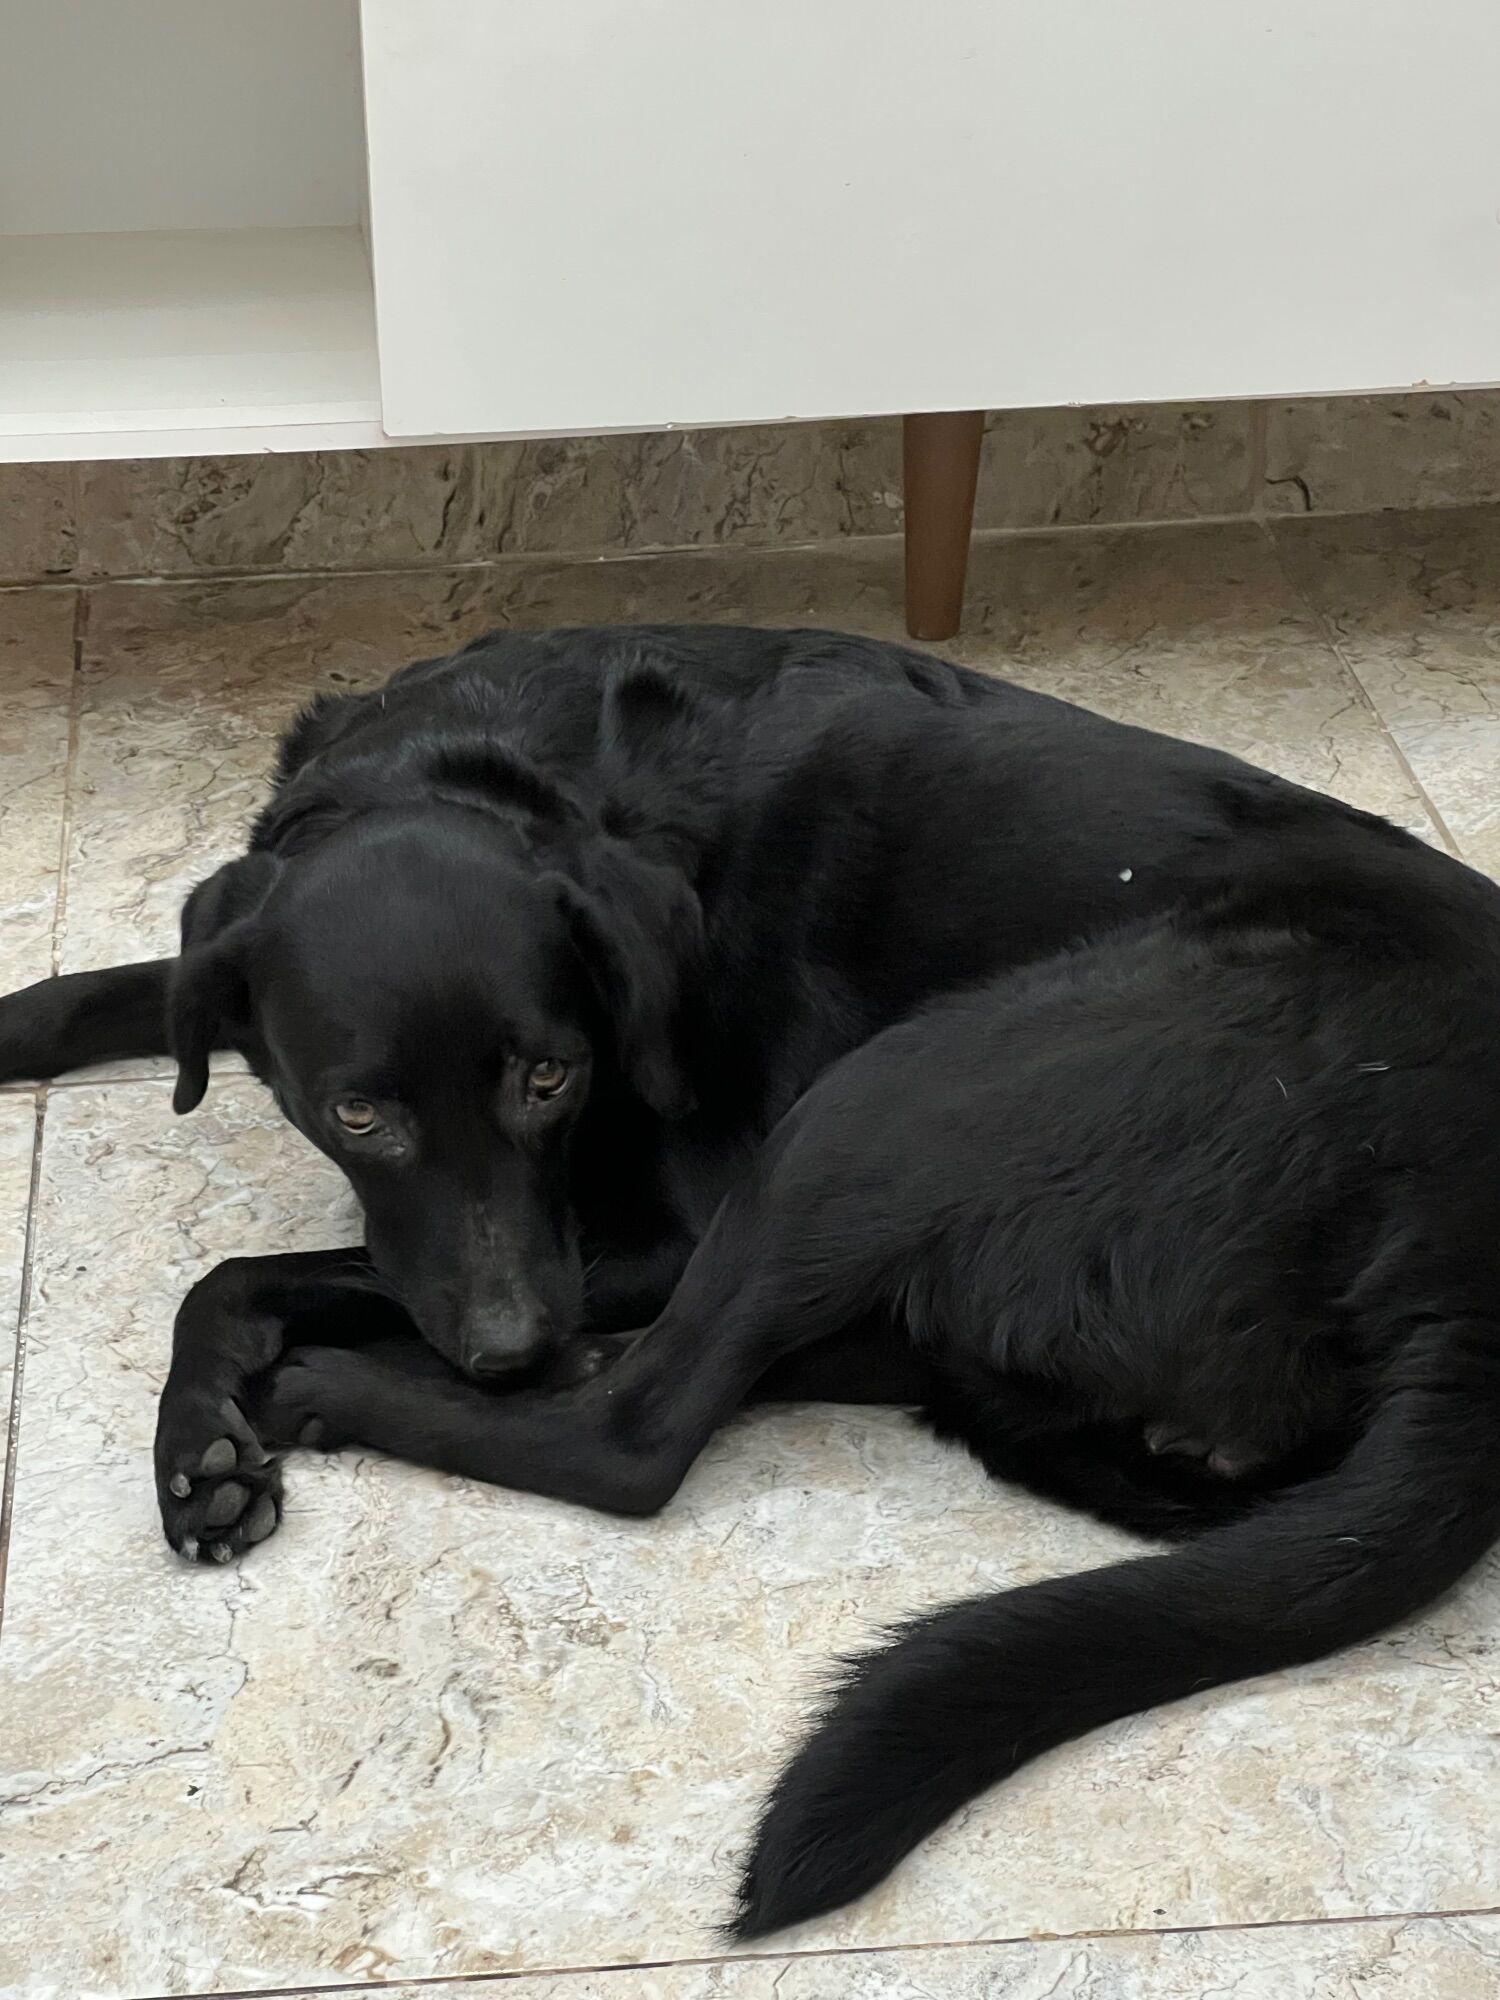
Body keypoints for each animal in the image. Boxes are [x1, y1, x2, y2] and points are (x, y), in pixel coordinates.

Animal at [0, 622, 1457, 1560]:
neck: (490, 756)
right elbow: (127, 989)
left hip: (884, 1102)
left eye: (553, 1075)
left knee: (633, 1434)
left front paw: (215, 1410)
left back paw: (366, 1387)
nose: (512, 1347)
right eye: (358, 1113)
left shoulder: (657, 1228)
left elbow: (239, 1272)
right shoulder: (236, 953)